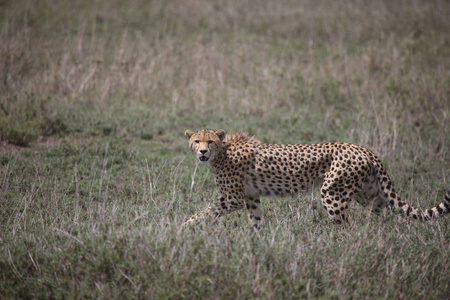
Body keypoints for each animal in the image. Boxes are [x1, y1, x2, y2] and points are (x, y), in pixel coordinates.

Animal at [183, 127, 450, 229]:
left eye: (210, 141)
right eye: (196, 140)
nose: (203, 152)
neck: (223, 151)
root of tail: (364, 149)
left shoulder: (233, 198)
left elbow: (207, 211)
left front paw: (185, 226)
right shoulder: (250, 196)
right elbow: (256, 219)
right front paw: (255, 242)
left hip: (332, 192)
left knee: (345, 227)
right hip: (367, 192)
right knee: (382, 208)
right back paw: (376, 235)